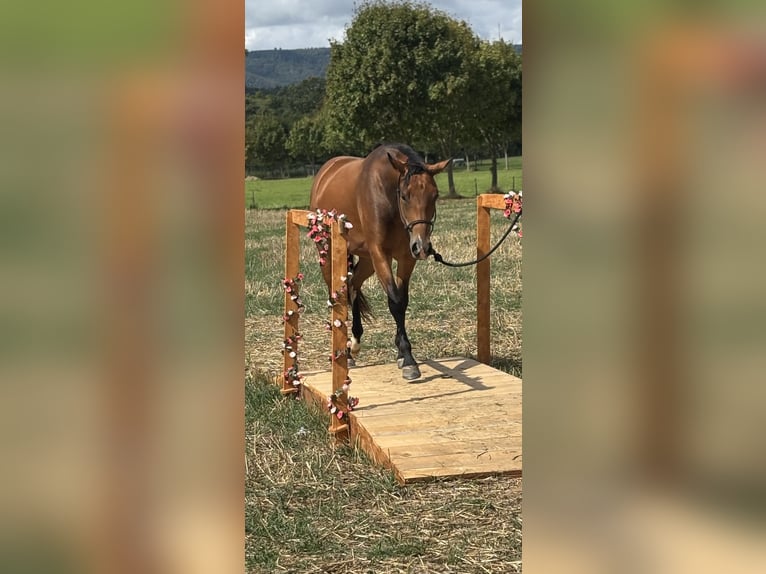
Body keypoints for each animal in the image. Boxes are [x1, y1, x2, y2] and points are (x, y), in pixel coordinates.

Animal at [309, 144, 451, 380]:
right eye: (405, 196)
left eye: (435, 195)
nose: (422, 247)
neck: (387, 194)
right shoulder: (380, 254)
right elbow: (394, 301)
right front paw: (408, 359)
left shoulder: (405, 257)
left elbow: (402, 301)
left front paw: (403, 353)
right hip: (329, 254)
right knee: (336, 294)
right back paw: (344, 352)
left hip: (367, 260)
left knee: (353, 285)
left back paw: (355, 342)